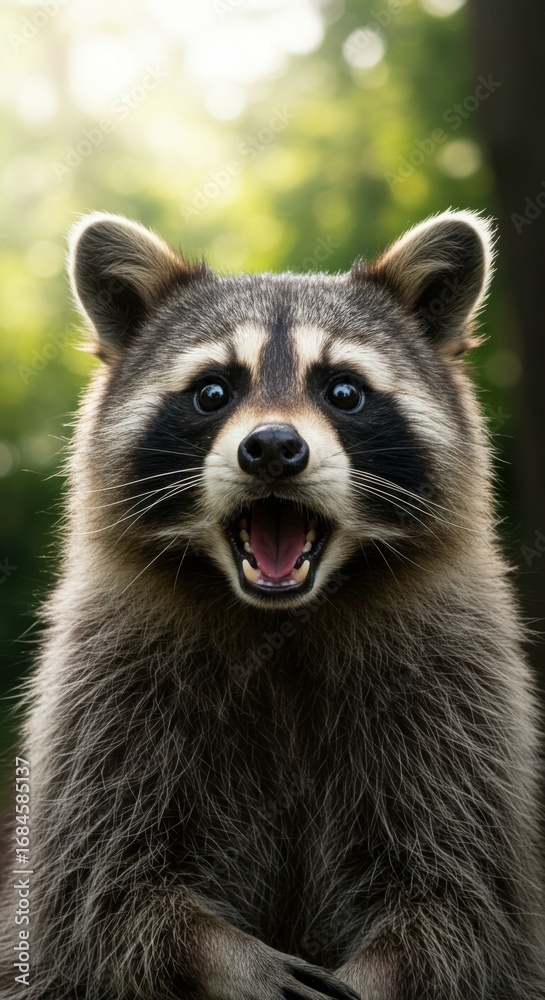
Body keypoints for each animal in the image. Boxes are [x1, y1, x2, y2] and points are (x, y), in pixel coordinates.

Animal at [1, 209, 544, 1000]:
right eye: (213, 392)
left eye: (343, 392)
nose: (273, 448)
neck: (281, 621)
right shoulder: (100, 697)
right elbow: (98, 895)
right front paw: (218, 954)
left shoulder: (462, 704)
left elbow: (465, 901)